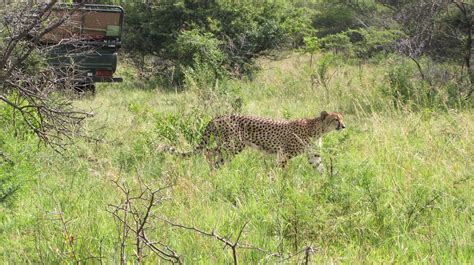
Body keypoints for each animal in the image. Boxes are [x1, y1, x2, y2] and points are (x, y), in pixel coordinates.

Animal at [160, 111, 344, 169]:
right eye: (336, 119)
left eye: (341, 118)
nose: (344, 126)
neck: (318, 129)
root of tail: (218, 116)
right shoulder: (284, 153)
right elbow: (282, 171)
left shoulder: (313, 155)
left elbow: (320, 168)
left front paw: (327, 182)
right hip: (233, 145)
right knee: (209, 152)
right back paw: (213, 170)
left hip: (227, 145)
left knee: (214, 155)